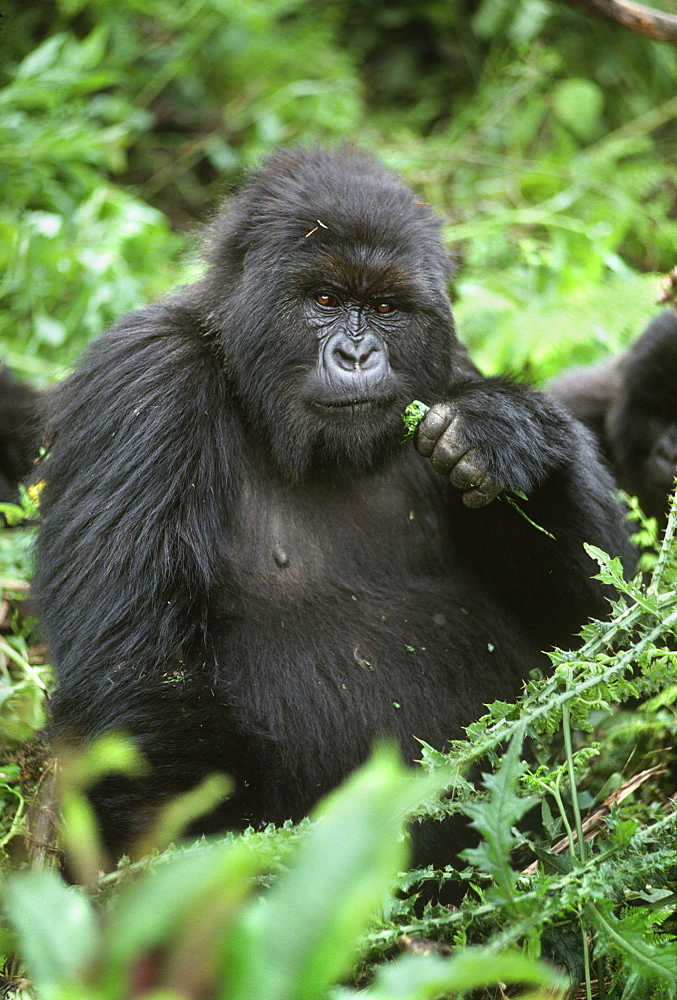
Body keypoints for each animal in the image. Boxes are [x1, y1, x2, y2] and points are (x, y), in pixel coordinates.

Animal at [33, 148, 632, 860]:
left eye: (384, 307)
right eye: (325, 299)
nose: (356, 352)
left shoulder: (449, 371)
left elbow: (588, 620)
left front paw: (508, 430)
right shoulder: (143, 378)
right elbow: (139, 668)